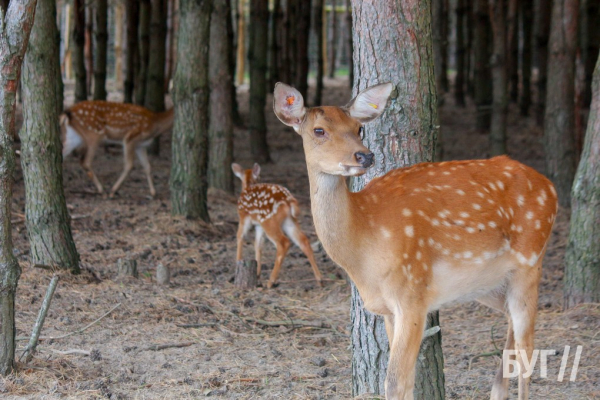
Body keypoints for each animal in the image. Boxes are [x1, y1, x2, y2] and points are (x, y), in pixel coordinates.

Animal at [274, 82, 556, 400]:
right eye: (319, 130)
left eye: (359, 128)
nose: (364, 156)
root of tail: (551, 187)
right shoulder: (387, 308)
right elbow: (407, 380)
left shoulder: (412, 292)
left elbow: (395, 381)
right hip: (490, 284)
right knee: (512, 328)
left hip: (530, 261)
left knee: (527, 348)